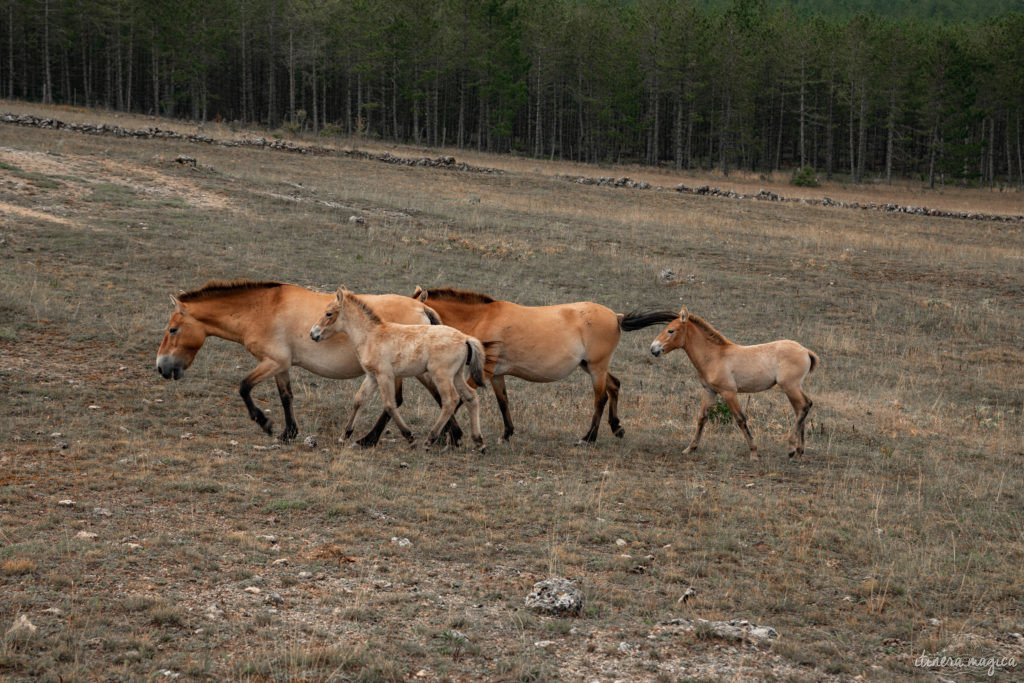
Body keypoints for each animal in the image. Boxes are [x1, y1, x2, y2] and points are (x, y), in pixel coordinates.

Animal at [152, 280, 460, 446]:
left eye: (173, 330)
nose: (162, 367)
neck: (261, 310)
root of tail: (422, 307)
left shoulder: (273, 361)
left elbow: (243, 387)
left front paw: (265, 423)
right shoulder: (282, 366)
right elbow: (286, 397)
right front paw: (288, 433)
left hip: (410, 371)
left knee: (422, 399)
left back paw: (374, 439)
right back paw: (450, 437)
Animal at [307, 286, 487, 450]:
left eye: (329, 313)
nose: (313, 334)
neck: (371, 335)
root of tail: (465, 338)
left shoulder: (384, 375)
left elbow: (389, 404)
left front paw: (410, 437)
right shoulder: (372, 376)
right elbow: (359, 400)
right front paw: (344, 436)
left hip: (442, 376)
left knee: (450, 401)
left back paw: (430, 440)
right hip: (456, 375)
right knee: (471, 396)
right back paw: (478, 442)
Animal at [407, 284, 679, 440]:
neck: (482, 317)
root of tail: (616, 316)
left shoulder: (482, 371)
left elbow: (459, 400)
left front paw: (447, 435)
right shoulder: (496, 374)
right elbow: (503, 402)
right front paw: (507, 433)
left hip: (596, 368)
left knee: (600, 398)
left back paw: (589, 437)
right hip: (591, 366)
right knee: (614, 386)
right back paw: (617, 428)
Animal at [651, 309, 819, 458]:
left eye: (671, 331)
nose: (653, 349)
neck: (715, 356)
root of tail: (806, 351)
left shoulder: (729, 392)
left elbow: (740, 418)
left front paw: (754, 453)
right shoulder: (709, 391)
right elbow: (702, 417)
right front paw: (690, 448)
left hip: (790, 386)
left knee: (804, 406)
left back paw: (791, 449)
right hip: (793, 388)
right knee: (801, 409)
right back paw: (798, 452)